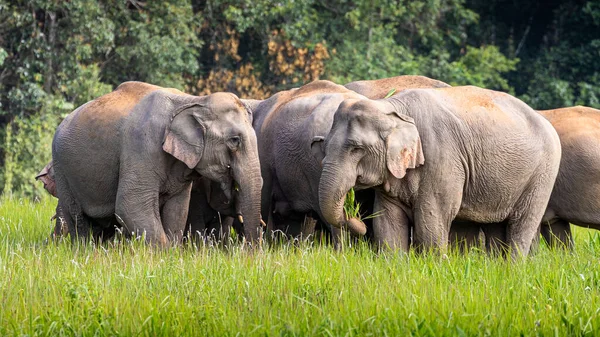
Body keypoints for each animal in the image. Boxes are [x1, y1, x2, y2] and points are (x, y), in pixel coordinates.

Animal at [52, 80, 264, 245]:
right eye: (234, 140)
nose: (250, 253)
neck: (192, 101)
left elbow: (178, 209)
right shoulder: (141, 147)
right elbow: (130, 205)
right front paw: (165, 255)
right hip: (62, 170)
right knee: (77, 218)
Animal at [318, 84, 564, 258]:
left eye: (356, 148)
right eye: (325, 145)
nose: (356, 217)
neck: (392, 107)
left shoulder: (441, 158)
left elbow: (431, 220)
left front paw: (432, 265)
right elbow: (388, 221)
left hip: (543, 174)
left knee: (521, 226)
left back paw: (512, 266)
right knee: (496, 227)